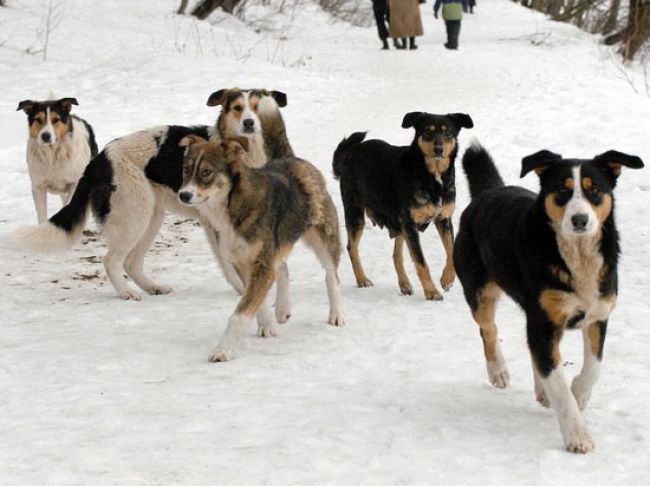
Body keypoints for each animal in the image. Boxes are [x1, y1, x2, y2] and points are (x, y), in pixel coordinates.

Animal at [16, 97, 97, 226]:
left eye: (56, 120)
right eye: (38, 119)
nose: (45, 136)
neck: (53, 154)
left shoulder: (75, 182)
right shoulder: (38, 186)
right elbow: (42, 215)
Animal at [175, 135, 342, 362]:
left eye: (206, 172)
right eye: (185, 170)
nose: (183, 195)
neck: (230, 206)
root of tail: (293, 160)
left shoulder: (261, 264)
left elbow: (240, 313)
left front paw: (223, 349)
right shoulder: (243, 263)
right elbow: (257, 299)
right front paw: (267, 325)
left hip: (323, 238)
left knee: (331, 275)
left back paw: (336, 314)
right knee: (283, 268)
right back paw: (281, 309)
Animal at [334, 112, 470, 300]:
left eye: (448, 132)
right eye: (427, 132)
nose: (438, 149)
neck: (431, 175)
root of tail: (350, 154)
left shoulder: (443, 219)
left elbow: (451, 251)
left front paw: (447, 279)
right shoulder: (410, 223)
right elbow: (420, 261)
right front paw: (432, 291)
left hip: (398, 222)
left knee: (396, 255)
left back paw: (404, 284)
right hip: (356, 213)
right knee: (351, 248)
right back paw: (362, 279)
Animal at [456, 140, 644, 452]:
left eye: (594, 190)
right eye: (562, 190)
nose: (580, 220)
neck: (577, 259)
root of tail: (488, 192)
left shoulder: (598, 314)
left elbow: (593, 367)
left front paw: (579, 394)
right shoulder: (544, 321)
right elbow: (558, 384)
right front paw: (577, 435)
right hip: (479, 290)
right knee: (489, 330)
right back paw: (498, 371)